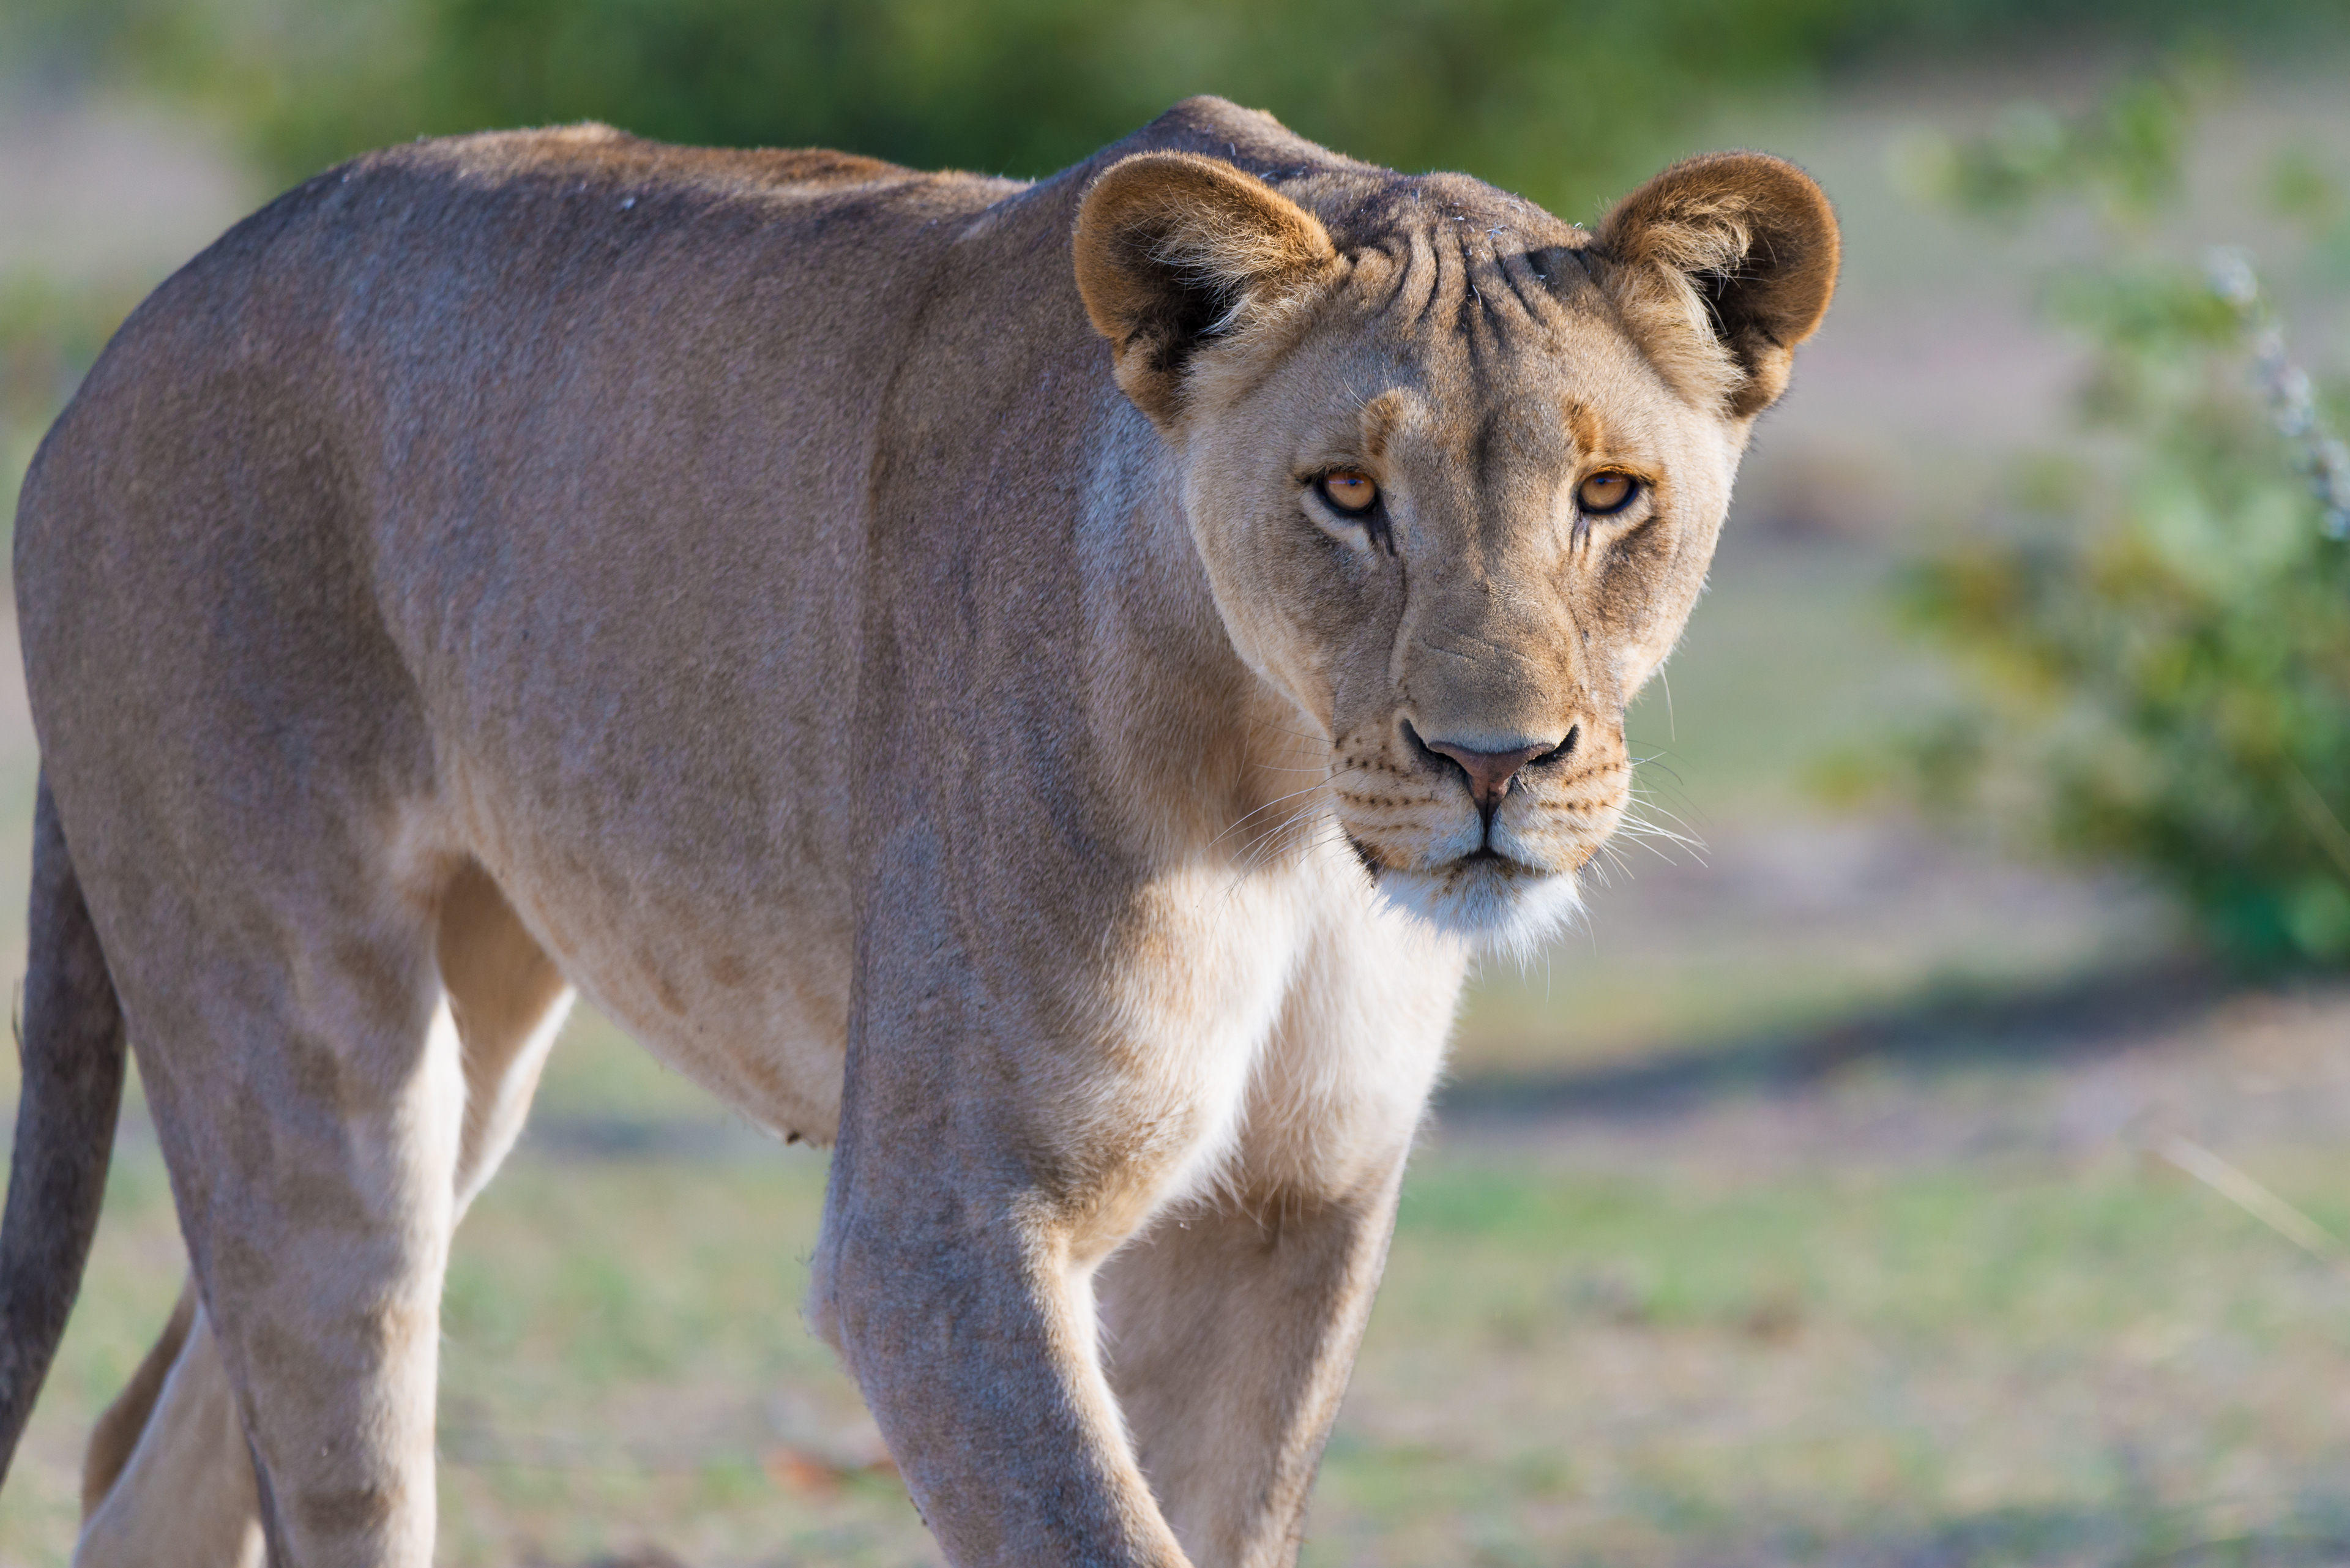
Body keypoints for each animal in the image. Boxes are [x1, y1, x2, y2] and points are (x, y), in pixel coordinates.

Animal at [0, 97, 1835, 1566]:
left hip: (480, 1031)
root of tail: (126, 338)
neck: (1285, 815)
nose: (1491, 762)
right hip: (313, 1049)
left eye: (1608, 496)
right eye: (1344, 495)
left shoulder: (1289, 1208)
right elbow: (1095, 1526)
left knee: (152, 1457)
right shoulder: (943, 1226)